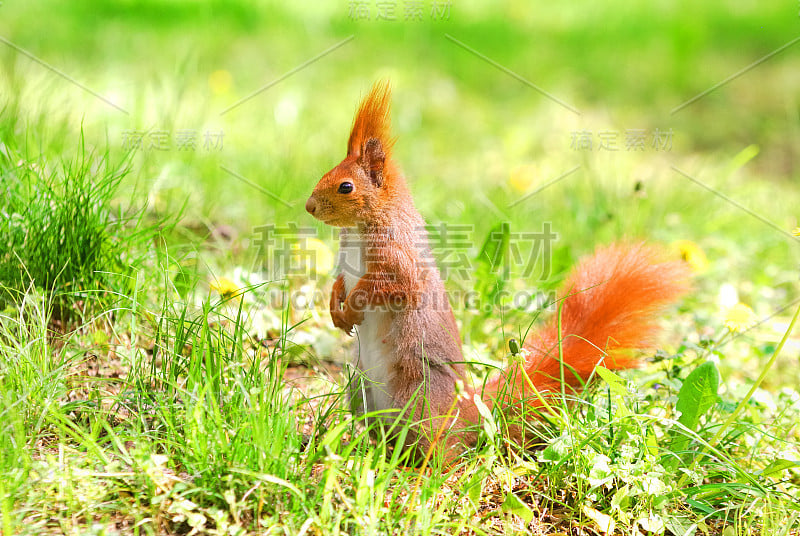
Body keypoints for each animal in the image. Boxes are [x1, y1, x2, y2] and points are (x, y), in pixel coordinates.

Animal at [304, 81, 688, 458]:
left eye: (346, 186)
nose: (309, 207)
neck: (361, 225)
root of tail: (469, 413)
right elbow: (339, 282)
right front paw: (336, 308)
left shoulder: (400, 259)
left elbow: (391, 287)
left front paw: (352, 308)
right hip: (360, 390)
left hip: (417, 397)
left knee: (441, 451)